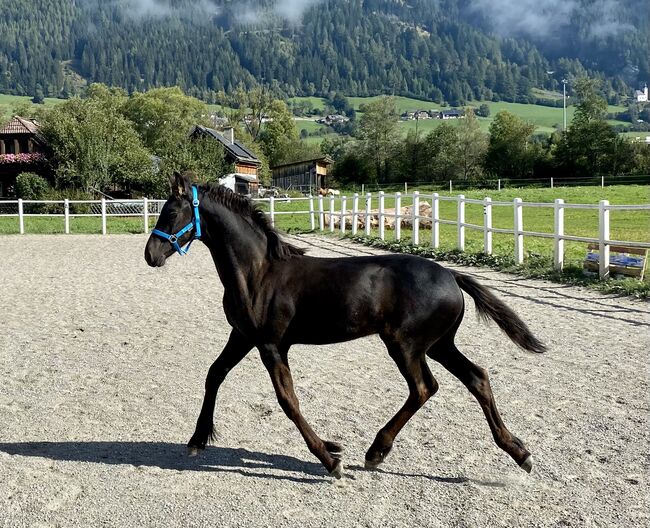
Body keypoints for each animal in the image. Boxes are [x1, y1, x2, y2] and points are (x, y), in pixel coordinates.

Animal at [146, 173, 540, 478]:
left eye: (171, 211)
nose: (151, 254)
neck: (258, 273)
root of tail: (452, 276)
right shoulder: (243, 336)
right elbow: (215, 374)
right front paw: (197, 440)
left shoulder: (271, 345)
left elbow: (288, 400)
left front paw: (328, 459)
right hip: (439, 344)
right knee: (477, 378)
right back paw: (519, 452)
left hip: (406, 345)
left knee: (424, 388)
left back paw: (376, 452)